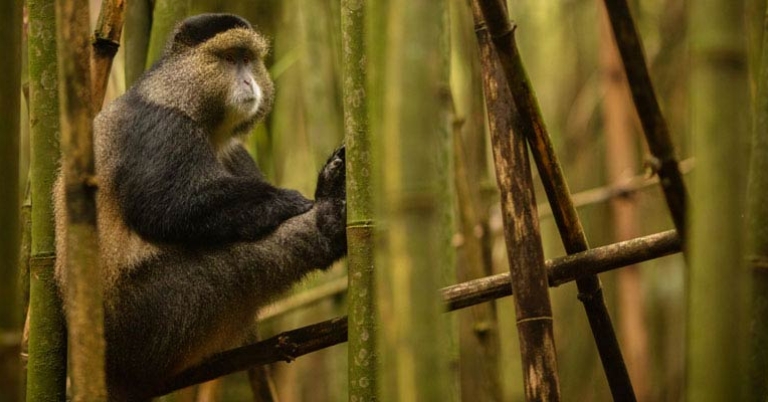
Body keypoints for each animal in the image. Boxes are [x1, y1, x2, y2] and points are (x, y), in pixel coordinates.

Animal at [54, 13, 347, 401]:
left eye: (247, 59)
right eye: (230, 58)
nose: (249, 80)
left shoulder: (235, 151)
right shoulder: (161, 130)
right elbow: (166, 209)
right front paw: (287, 201)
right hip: (151, 317)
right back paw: (329, 218)